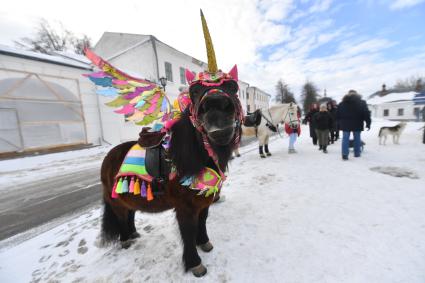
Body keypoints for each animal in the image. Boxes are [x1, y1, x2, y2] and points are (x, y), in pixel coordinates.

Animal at [98, 81, 238, 278]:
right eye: (194, 91)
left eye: (233, 87)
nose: (217, 107)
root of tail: (108, 157)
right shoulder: (185, 208)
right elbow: (188, 232)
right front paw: (195, 264)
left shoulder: (203, 202)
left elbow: (202, 222)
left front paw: (204, 243)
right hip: (116, 201)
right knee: (121, 216)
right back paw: (125, 240)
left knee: (130, 213)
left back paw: (133, 234)